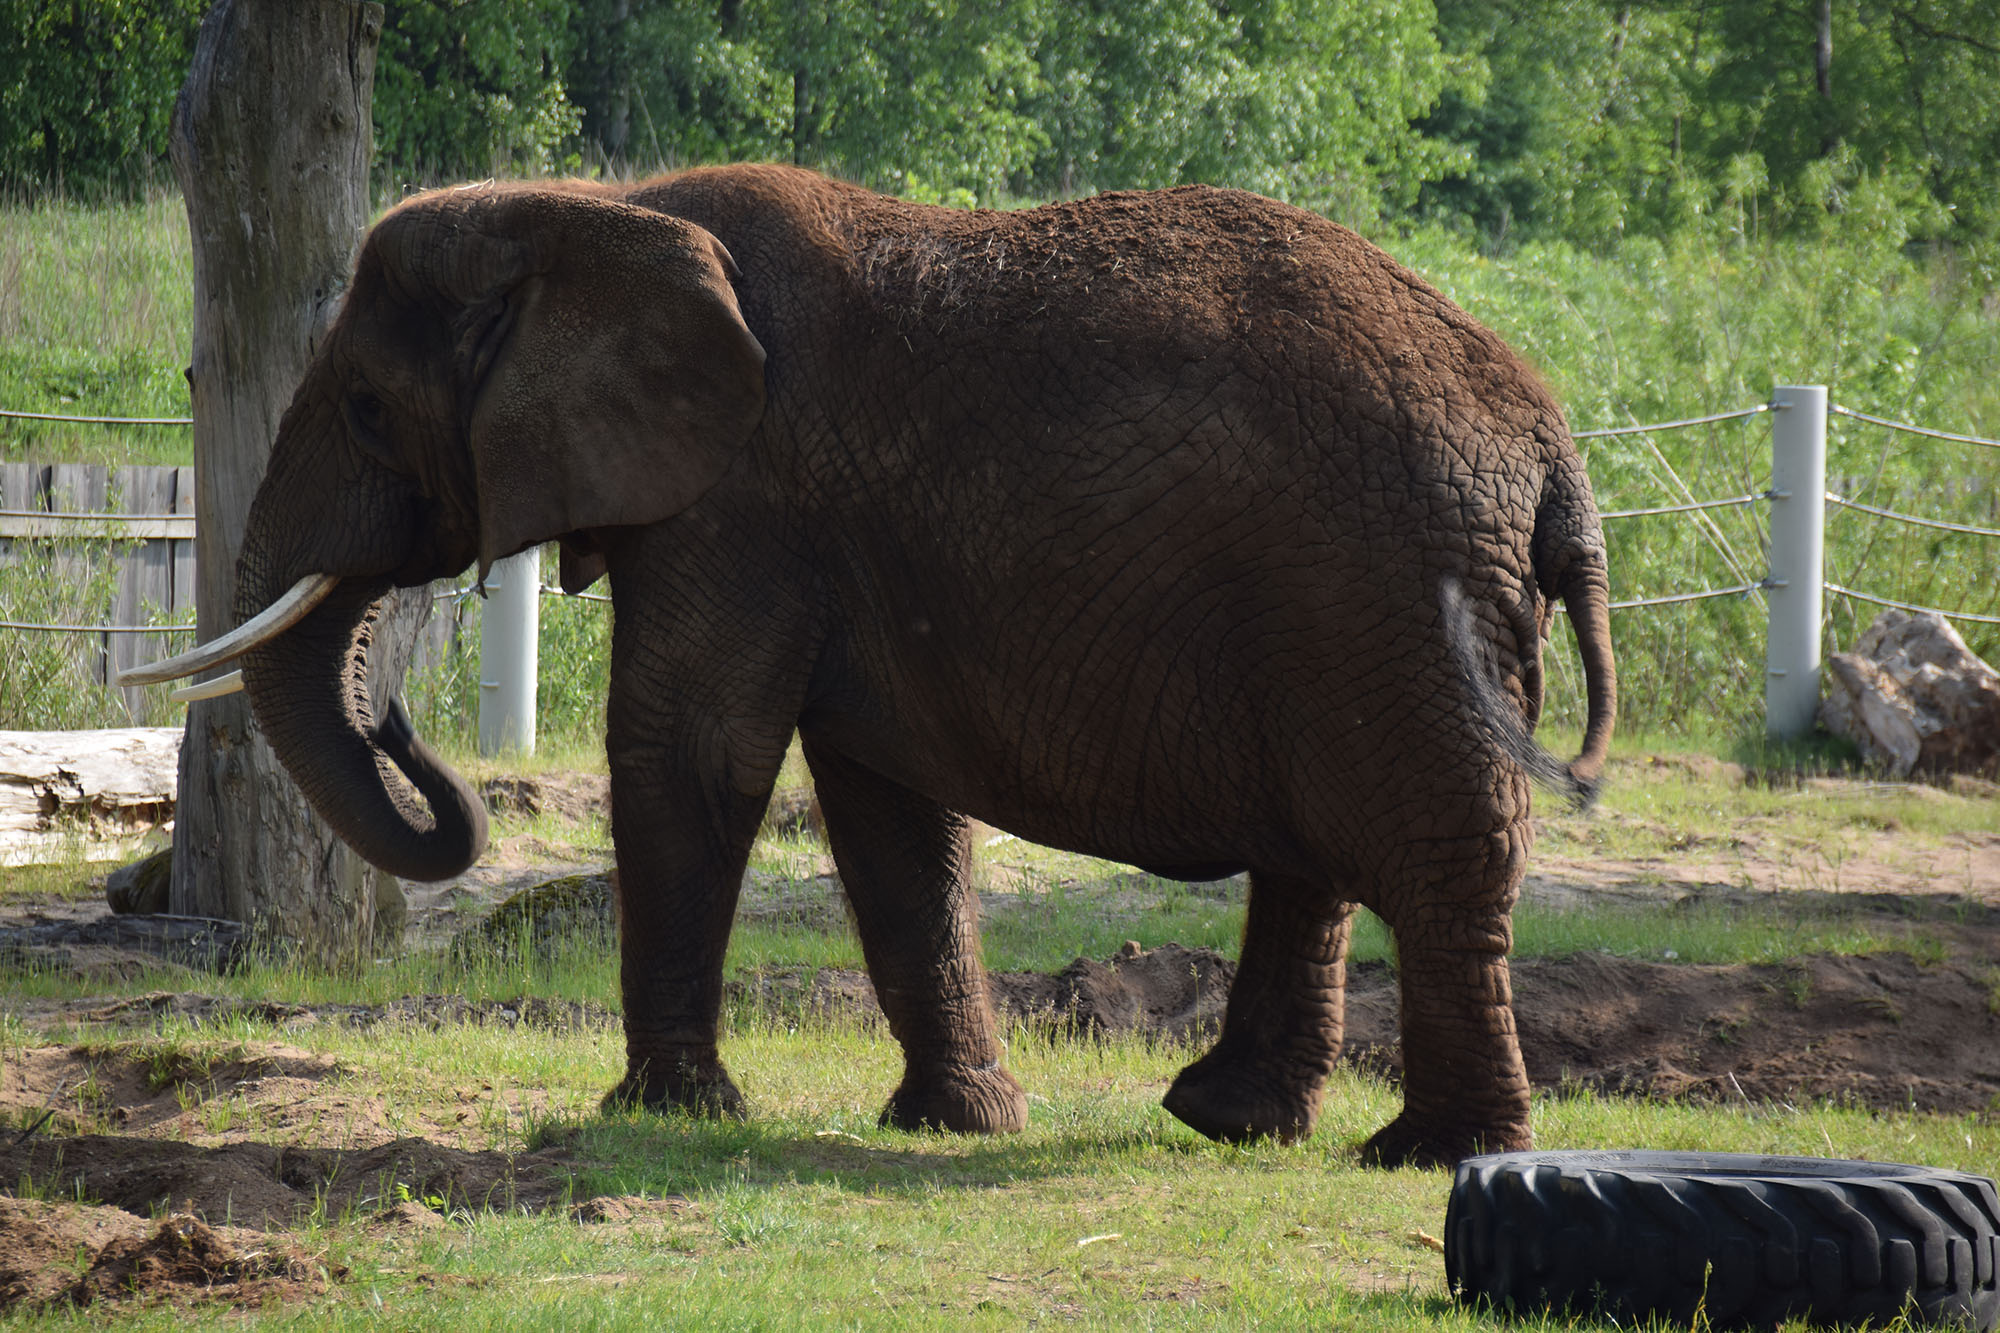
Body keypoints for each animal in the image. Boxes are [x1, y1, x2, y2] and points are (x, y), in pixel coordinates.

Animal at [137, 163, 1608, 1160]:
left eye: (368, 411)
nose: (399, 727)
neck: (594, 211)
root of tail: (1554, 446)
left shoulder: (742, 497)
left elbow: (693, 750)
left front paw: (665, 1115)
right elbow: (884, 805)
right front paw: (957, 1125)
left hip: (1392, 600)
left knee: (1429, 854)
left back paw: (1429, 1155)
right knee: (1321, 853)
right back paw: (1232, 1121)